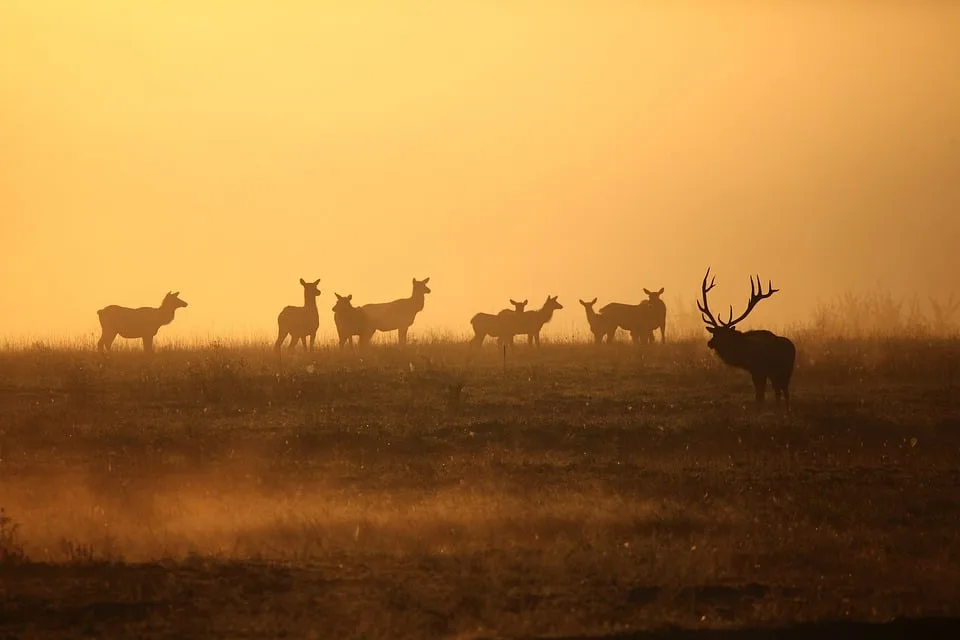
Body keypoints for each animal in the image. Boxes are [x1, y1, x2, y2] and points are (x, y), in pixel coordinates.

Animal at [696, 268, 796, 408]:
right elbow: (760, 392)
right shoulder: (758, 371)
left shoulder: (759, 369)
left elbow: (760, 394)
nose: (710, 343)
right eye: (714, 333)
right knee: (780, 391)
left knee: (783, 391)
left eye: (724, 335)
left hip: (784, 370)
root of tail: (792, 348)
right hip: (781, 372)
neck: (744, 354)